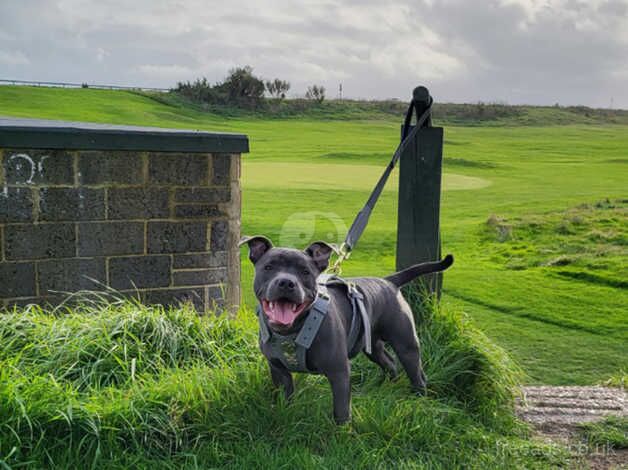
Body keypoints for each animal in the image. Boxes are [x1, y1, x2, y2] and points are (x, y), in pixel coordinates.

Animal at [240, 237, 452, 424]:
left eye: (305, 272)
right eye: (268, 267)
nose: (286, 282)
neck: (292, 331)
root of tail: (389, 281)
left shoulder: (339, 372)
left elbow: (341, 410)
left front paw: (342, 433)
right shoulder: (279, 370)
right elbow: (285, 398)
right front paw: (285, 414)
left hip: (406, 344)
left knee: (416, 373)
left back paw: (419, 398)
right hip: (373, 346)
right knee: (390, 362)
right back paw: (388, 385)